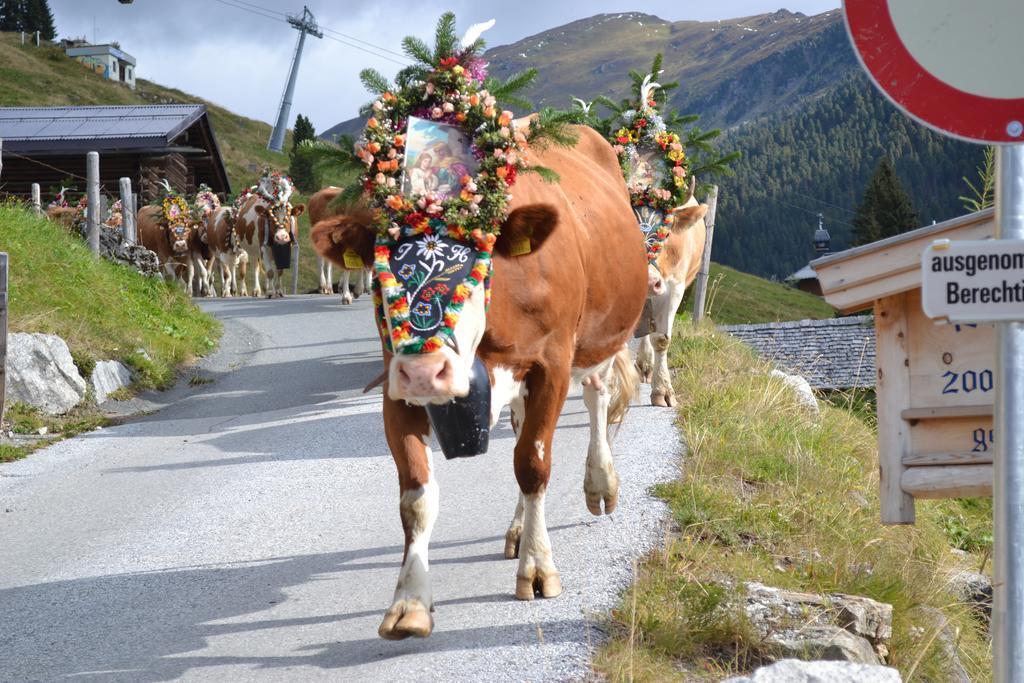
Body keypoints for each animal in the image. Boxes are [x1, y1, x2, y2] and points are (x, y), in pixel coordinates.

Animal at [311, 14, 647, 643]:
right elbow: (415, 497)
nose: (427, 371)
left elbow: (534, 464)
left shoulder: (551, 363)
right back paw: (516, 529)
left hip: (597, 340)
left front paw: (537, 569)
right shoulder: (393, 385)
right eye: (382, 272)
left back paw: (598, 485)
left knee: (595, 400)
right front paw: (409, 602)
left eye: (476, 258)